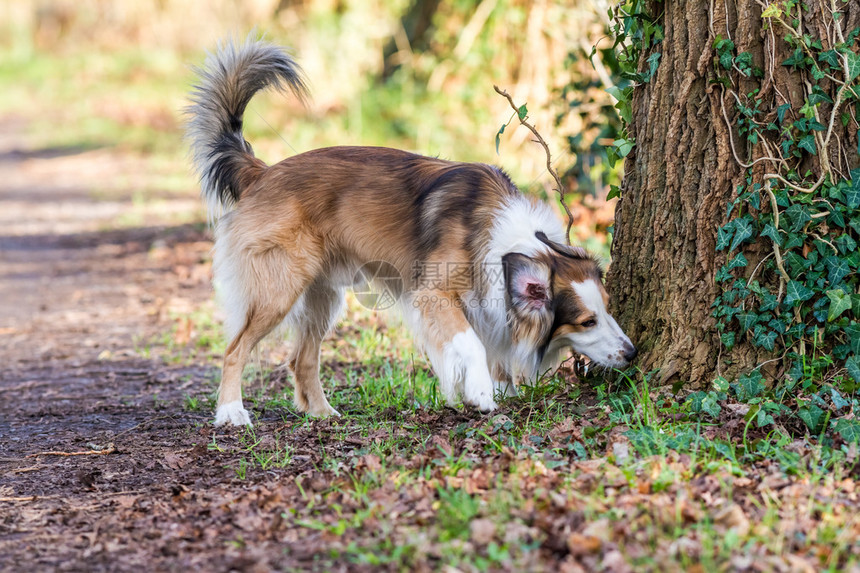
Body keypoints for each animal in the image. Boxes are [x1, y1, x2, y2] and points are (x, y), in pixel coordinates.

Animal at [185, 38, 636, 424]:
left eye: (608, 309)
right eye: (587, 322)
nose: (632, 353)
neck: (508, 243)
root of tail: (262, 172)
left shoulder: (487, 305)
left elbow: (491, 350)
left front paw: (497, 388)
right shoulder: (433, 293)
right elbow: (470, 343)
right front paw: (480, 394)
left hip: (323, 296)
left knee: (302, 359)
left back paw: (323, 414)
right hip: (278, 289)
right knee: (234, 350)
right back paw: (231, 412)